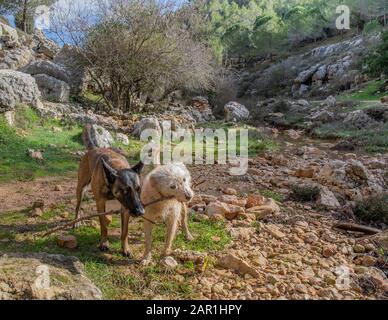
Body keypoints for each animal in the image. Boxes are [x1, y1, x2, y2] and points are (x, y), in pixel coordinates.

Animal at [74, 124, 144, 256]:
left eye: (138, 189)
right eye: (125, 190)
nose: (141, 212)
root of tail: (94, 149)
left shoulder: (125, 208)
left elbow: (125, 231)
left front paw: (125, 248)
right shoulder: (100, 202)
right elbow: (103, 225)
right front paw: (104, 243)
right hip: (81, 188)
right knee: (78, 205)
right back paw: (76, 221)